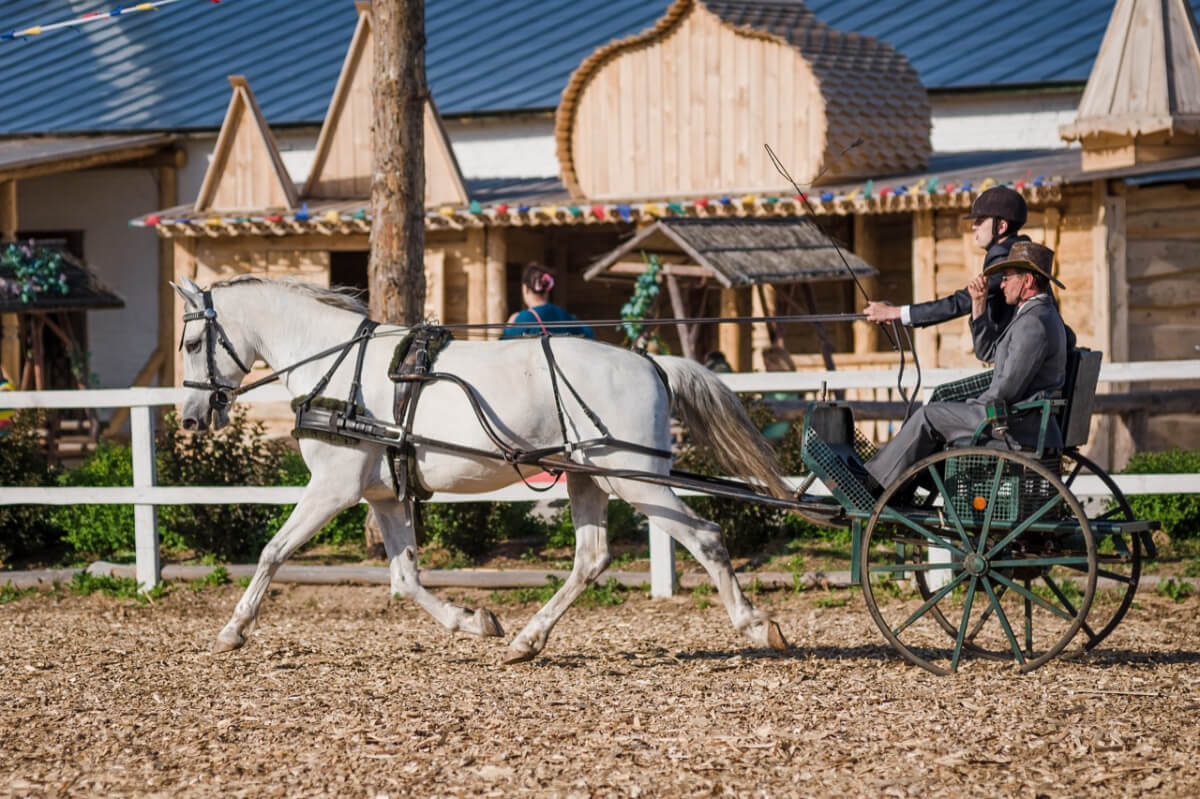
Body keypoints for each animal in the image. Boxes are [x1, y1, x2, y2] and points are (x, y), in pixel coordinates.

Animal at [169, 273, 787, 657]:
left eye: (194, 342)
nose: (192, 418)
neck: (340, 367)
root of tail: (652, 363)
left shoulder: (333, 488)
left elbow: (273, 552)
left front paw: (233, 629)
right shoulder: (384, 496)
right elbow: (405, 579)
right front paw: (473, 622)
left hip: (635, 480)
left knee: (704, 537)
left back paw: (756, 626)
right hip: (588, 478)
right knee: (591, 559)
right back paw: (527, 641)